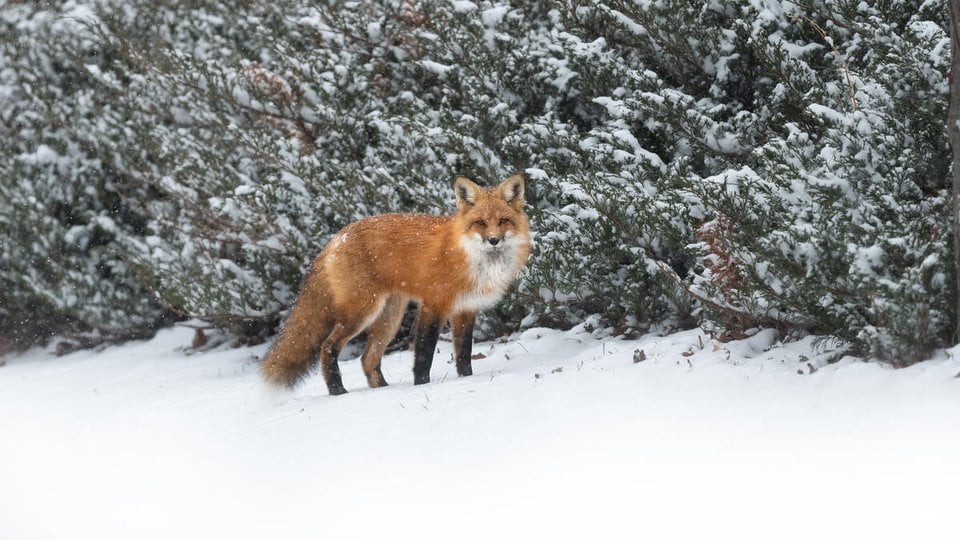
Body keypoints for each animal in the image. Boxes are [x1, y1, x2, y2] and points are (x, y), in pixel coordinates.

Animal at [260, 174, 530, 395]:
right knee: (327, 347)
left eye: (504, 220)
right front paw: (421, 387)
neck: (472, 259)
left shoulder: (466, 310)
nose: (493, 240)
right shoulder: (433, 305)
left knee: (367, 359)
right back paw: (338, 392)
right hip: (361, 313)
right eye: (480, 223)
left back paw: (382, 392)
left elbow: (464, 355)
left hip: (389, 318)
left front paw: (467, 381)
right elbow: (424, 354)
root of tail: (336, 238)